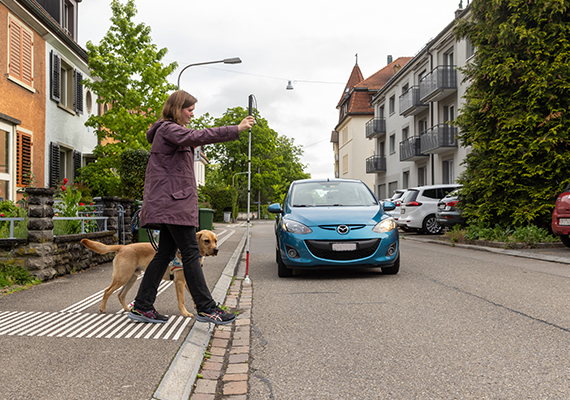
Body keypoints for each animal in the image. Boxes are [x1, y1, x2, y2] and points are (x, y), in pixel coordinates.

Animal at [81, 231, 219, 318]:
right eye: (206, 241)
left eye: (215, 241)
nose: (216, 250)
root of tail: (122, 247)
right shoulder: (179, 282)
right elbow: (182, 300)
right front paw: (185, 313)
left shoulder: (186, 281)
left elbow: (194, 295)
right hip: (122, 277)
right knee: (107, 291)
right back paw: (102, 308)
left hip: (131, 278)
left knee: (120, 294)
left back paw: (127, 309)